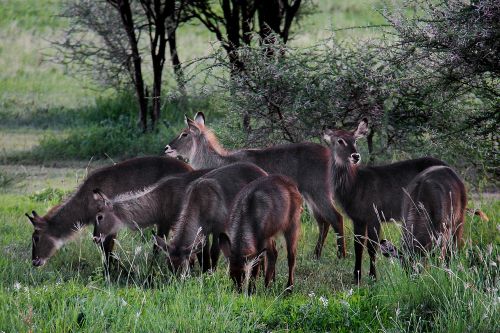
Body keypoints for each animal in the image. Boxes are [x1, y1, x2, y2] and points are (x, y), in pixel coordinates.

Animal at [25, 156, 193, 268]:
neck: (86, 199)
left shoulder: (109, 224)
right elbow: (106, 249)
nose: (35, 261)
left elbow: (107, 249)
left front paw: (112, 270)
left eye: (36, 238)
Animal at [166, 111, 346, 260]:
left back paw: (341, 256)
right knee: (323, 222)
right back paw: (316, 255)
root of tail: (329, 154)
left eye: (184, 133)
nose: (167, 148)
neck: (221, 161)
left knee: (336, 218)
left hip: (319, 192)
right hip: (310, 196)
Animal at [324, 118, 450, 282]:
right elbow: (358, 247)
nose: (355, 156)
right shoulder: (358, 220)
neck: (356, 184)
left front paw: (372, 277)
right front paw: (356, 277)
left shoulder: (374, 217)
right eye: (340, 140)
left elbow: (372, 248)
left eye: (355, 140)